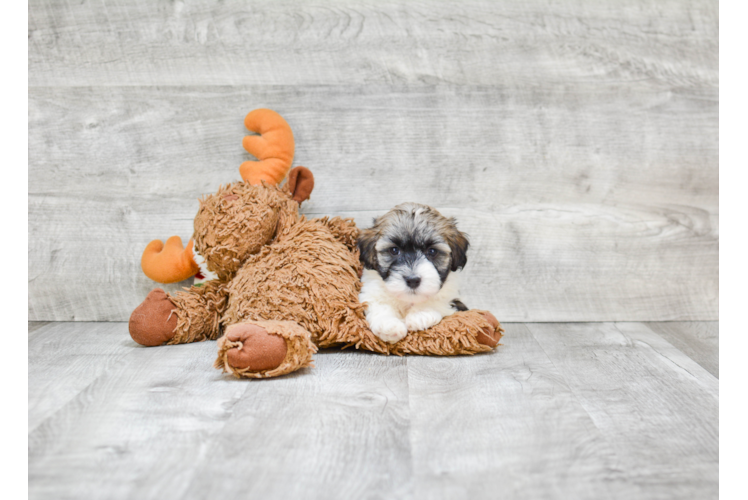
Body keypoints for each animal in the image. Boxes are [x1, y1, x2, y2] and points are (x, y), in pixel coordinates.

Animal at [356, 203, 468, 344]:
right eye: (394, 250)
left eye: (432, 251)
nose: (413, 280)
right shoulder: (371, 292)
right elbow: (380, 305)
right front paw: (388, 325)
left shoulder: (453, 297)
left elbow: (438, 299)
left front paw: (421, 315)